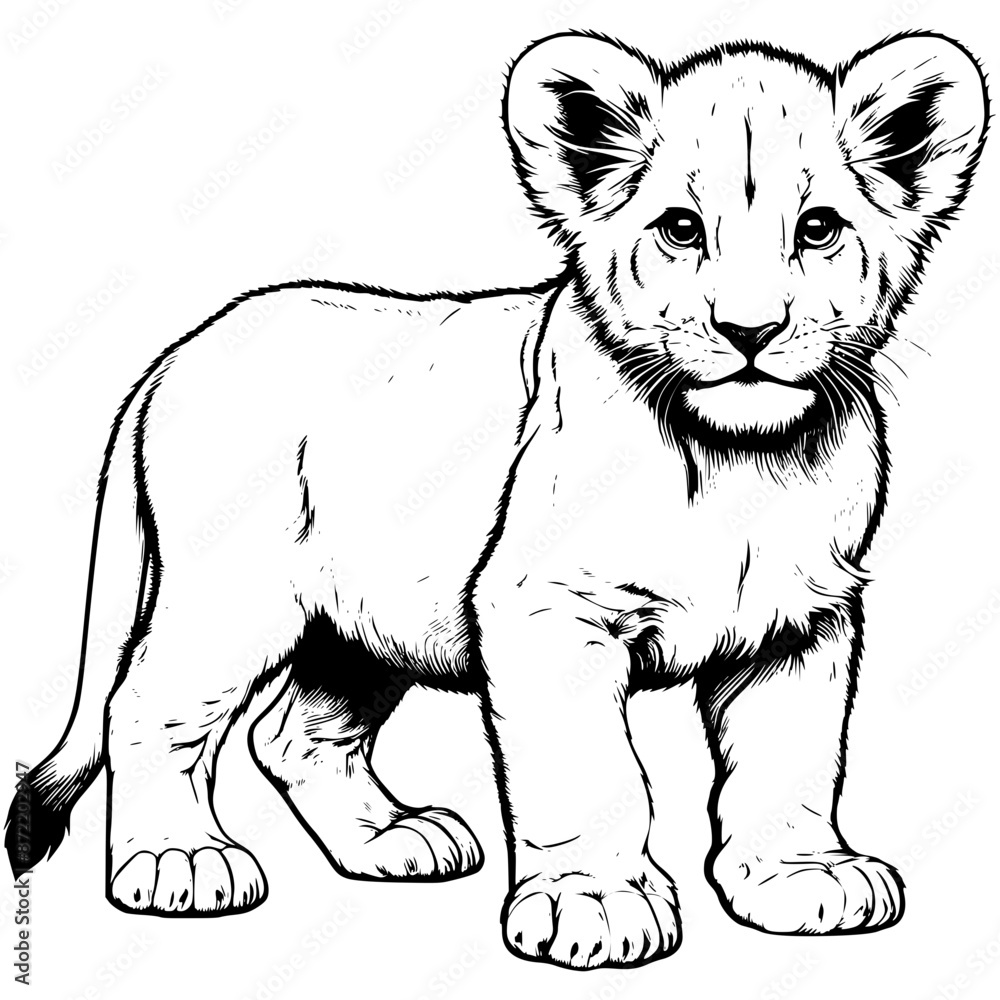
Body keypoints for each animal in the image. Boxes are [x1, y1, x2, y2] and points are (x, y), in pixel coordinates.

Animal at [6, 30, 988, 969]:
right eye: (680, 228)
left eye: (818, 229)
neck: (740, 461)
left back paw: (394, 838)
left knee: (295, 732)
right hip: (234, 591)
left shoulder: (802, 620)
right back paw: (177, 861)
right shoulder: (546, 606)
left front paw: (803, 877)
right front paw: (596, 904)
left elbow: (794, 757)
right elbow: (593, 767)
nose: (750, 331)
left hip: (359, 621)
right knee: (144, 705)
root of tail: (180, 348)